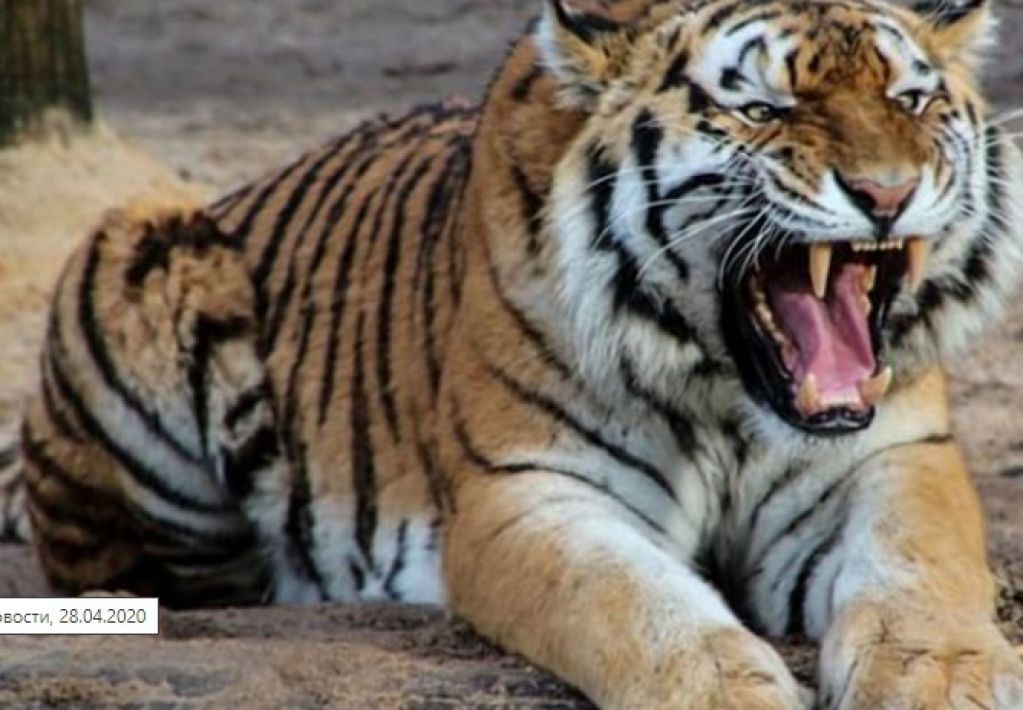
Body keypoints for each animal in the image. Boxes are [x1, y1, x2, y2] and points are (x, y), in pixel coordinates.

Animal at [16, 0, 1023, 706]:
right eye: (764, 109)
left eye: (909, 99)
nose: (886, 193)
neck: (726, 392)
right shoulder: (528, 489)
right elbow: (630, 601)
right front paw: (722, 690)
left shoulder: (895, 456)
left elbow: (922, 571)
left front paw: (942, 678)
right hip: (139, 247)